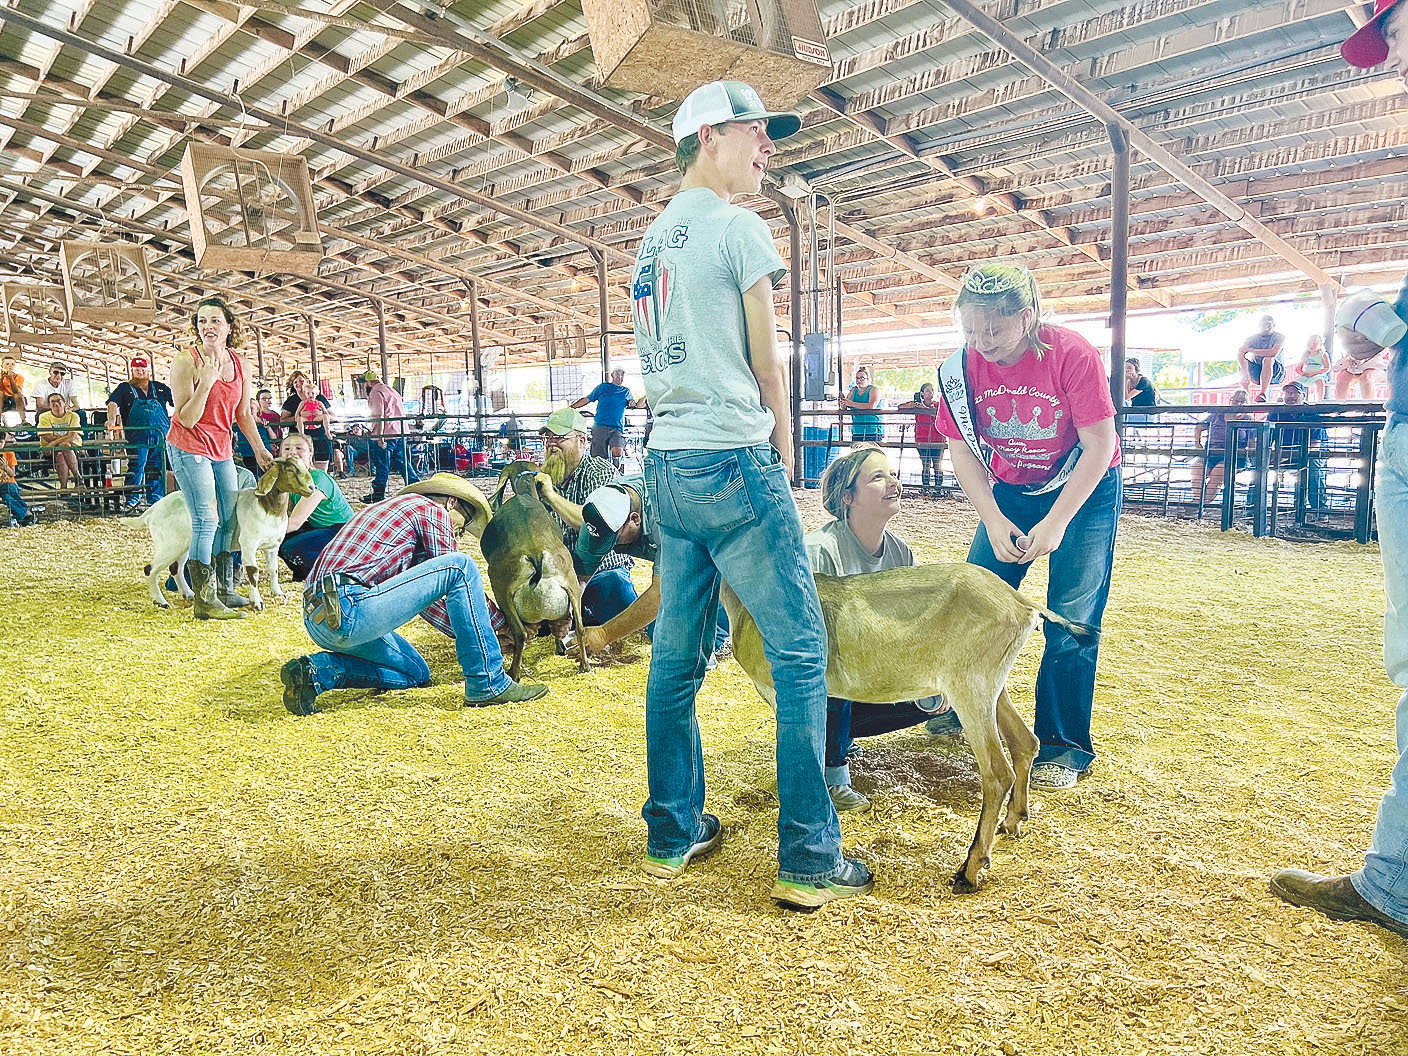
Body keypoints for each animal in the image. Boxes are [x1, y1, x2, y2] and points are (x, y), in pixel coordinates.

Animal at [137, 461, 313, 611]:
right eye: (290, 470)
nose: (311, 487)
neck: (266, 507)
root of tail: (153, 509)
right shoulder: (248, 544)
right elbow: (253, 572)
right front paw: (257, 602)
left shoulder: (272, 546)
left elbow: (273, 569)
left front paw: (278, 593)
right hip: (169, 544)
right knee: (150, 569)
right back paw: (161, 601)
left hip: (183, 544)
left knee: (176, 568)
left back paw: (189, 594)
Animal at [715, 566, 1086, 895]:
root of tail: (1022, 602)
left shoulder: (783, 691)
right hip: (992, 686)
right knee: (1026, 741)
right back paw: (1013, 821)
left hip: (970, 687)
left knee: (997, 772)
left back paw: (969, 869)